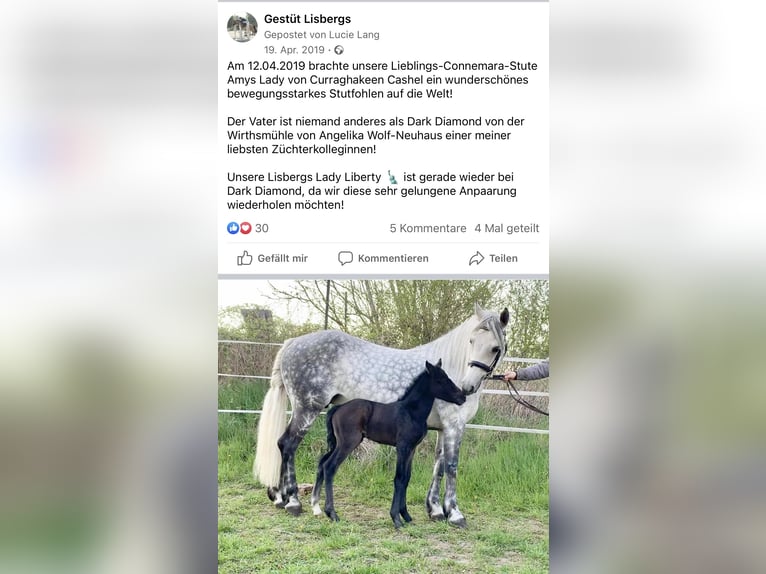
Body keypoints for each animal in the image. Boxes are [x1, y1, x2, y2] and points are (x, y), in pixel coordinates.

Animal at [311, 359, 467, 528]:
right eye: (440, 380)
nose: (462, 397)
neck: (411, 412)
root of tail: (338, 408)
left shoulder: (411, 449)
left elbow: (406, 478)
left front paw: (406, 515)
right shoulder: (402, 447)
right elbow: (399, 478)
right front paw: (396, 518)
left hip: (336, 444)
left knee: (322, 463)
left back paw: (317, 507)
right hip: (347, 443)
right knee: (330, 467)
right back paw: (332, 513)